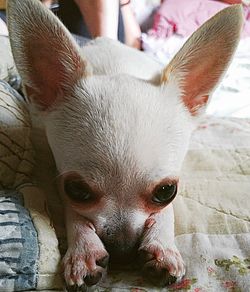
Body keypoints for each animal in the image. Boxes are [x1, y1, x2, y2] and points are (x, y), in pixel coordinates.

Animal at [7, 0, 242, 290]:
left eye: (166, 191)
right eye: (77, 190)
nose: (122, 251)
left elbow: (168, 211)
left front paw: (162, 245)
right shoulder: (55, 174)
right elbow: (73, 212)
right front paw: (84, 250)